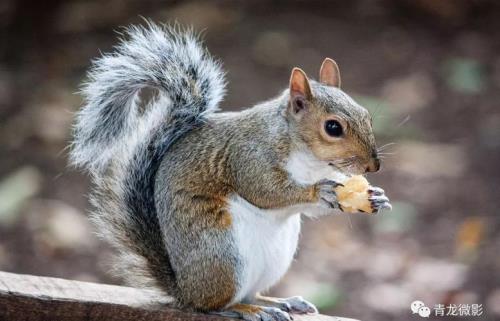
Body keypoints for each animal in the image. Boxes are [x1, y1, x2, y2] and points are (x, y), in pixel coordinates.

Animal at [70, 22, 390, 320]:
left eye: (367, 115)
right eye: (332, 127)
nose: (373, 166)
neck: (309, 161)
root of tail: (185, 290)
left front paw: (376, 197)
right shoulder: (248, 158)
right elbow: (266, 191)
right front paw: (319, 191)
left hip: (273, 260)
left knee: (252, 292)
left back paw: (278, 303)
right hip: (224, 256)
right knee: (216, 306)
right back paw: (249, 310)